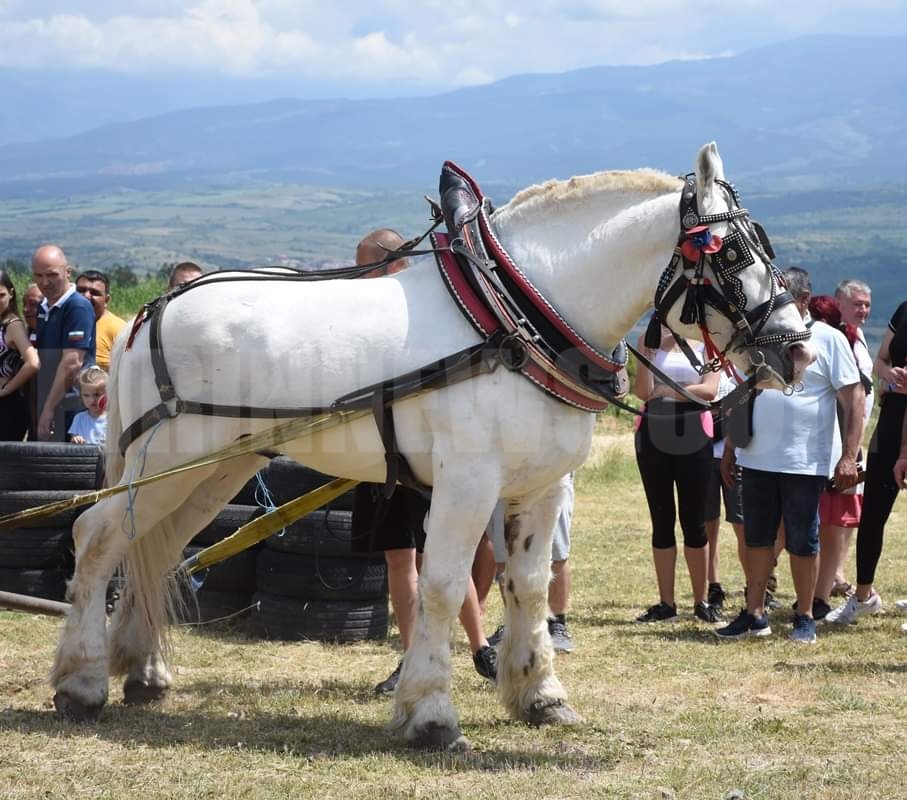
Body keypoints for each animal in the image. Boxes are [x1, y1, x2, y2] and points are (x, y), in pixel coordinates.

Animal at [51, 144, 816, 752]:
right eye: (734, 253)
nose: (798, 347)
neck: (516, 316)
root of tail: (153, 311)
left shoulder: (541, 486)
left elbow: (528, 585)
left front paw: (540, 695)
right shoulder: (467, 481)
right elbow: (443, 586)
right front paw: (430, 714)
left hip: (216, 468)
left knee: (157, 548)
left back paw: (143, 671)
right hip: (164, 458)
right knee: (99, 537)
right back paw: (81, 682)